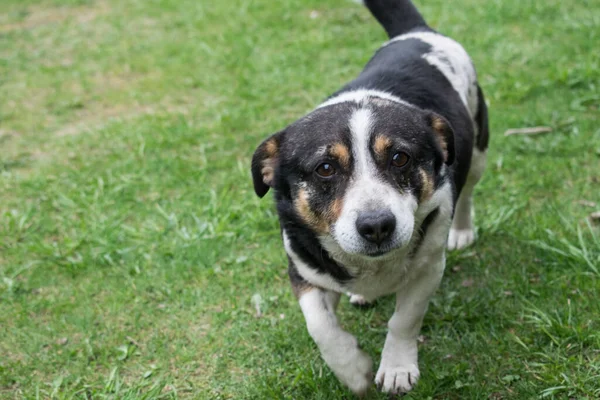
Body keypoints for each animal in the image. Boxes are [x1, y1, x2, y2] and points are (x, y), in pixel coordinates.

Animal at [248, 0, 488, 396]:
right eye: (325, 168)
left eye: (400, 158)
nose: (377, 226)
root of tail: (417, 32)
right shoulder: (304, 269)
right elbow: (321, 327)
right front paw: (352, 370)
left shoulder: (428, 268)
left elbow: (404, 320)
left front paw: (397, 368)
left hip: (479, 147)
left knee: (468, 189)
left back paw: (463, 231)